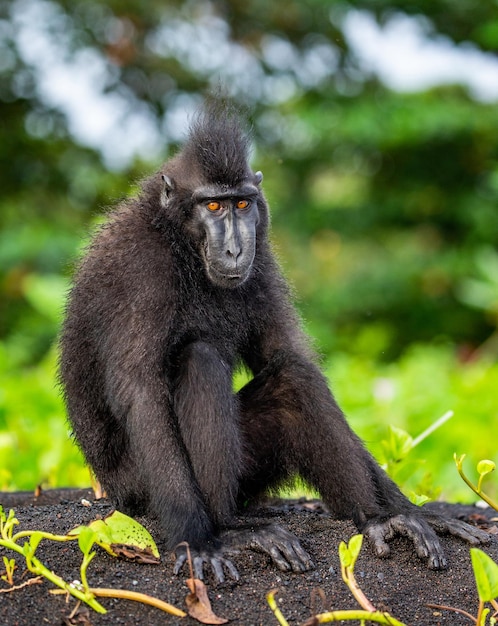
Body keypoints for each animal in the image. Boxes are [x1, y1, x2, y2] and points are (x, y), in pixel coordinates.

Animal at [60, 101, 488, 580]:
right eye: (213, 205)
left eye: (242, 204)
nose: (234, 250)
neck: (178, 241)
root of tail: (111, 489)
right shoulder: (140, 271)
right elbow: (141, 394)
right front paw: (199, 541)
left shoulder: (260, 265)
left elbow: (288, 357)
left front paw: (412, 511)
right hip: (138, 489)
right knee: (200, 358)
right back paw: (231, 527)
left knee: (294, 377)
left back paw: (379, 520)